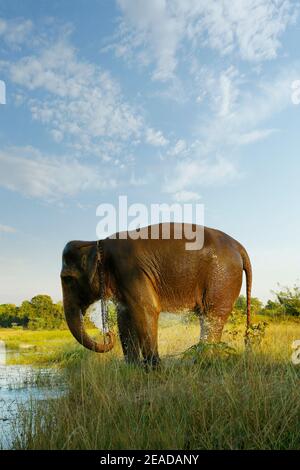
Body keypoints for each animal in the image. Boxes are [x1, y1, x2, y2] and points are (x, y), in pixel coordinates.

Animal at [60, 223, 251, 368]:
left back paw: (202, 363)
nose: (107, 334)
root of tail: (239, 246)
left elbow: (146, 310)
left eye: (67, 279)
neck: (96, 244)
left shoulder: (131, 271)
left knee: (212, 316)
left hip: (222, 277)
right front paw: (132, 368)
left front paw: (153, 369)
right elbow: (125, 318)